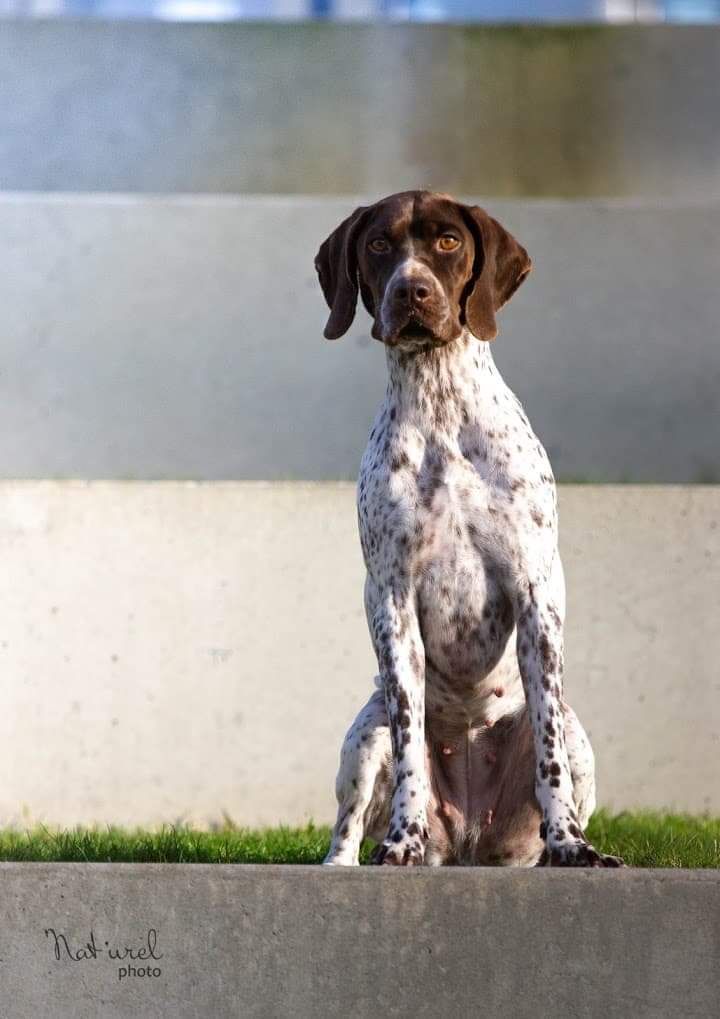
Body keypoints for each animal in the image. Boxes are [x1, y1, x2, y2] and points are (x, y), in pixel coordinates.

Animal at [317, 191, 623, 868]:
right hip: (365, 735)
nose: (412, 290)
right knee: (348, 824)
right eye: (379, 244)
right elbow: (410, 742)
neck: (441, 403)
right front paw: (402, 840)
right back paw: (347, 861)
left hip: (579, 739)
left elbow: (549, 752)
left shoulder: (536, 595)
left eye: (449, 242)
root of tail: (467, 845)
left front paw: (570, 845)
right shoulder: (392, 598)